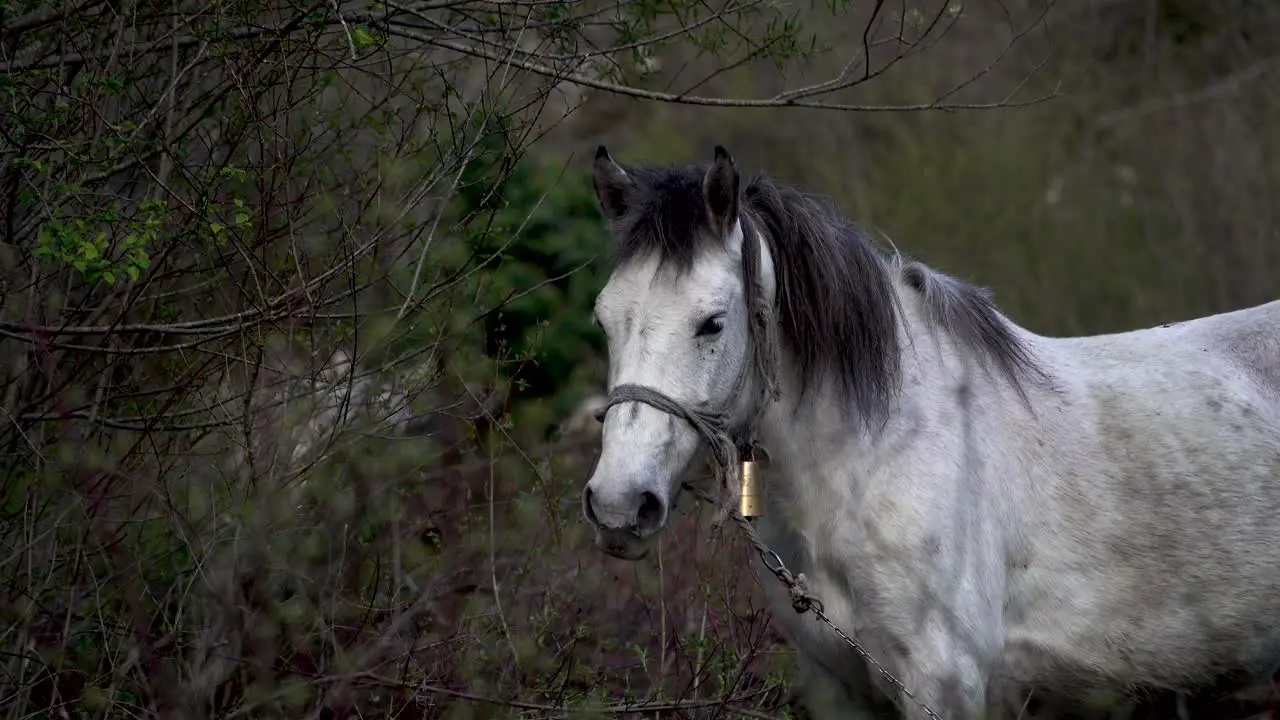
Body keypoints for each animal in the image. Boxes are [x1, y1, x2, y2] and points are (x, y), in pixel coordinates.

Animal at [583, 146, 1280, 717]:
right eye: (604, 319)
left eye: (712, 323)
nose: (618, 505)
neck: (876, 459)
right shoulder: (840, 691)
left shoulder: (944, 686)